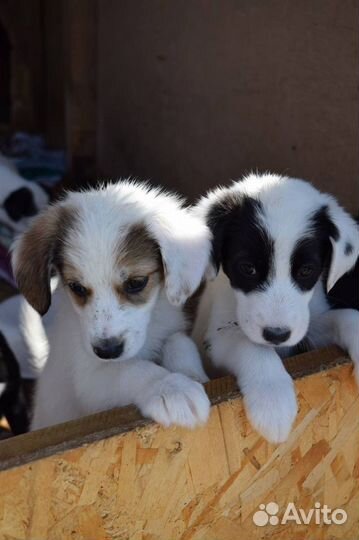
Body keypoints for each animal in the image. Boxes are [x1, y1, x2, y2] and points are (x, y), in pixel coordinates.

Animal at [11, 181, 211, 430]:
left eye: (136, 283)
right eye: (76, 287)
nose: (107, 351)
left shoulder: (171, 330)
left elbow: (180, 342)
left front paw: (192, 374)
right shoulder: (88, 379)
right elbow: (132, 369)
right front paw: (172, 387)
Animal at [194, 175, 359, 446]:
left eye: (306, 270)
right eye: (247, 268)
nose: (277, 335)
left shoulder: (307, 327)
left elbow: (346, 316)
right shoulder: (216, 337)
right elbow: (251, 345)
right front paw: (273, 400)